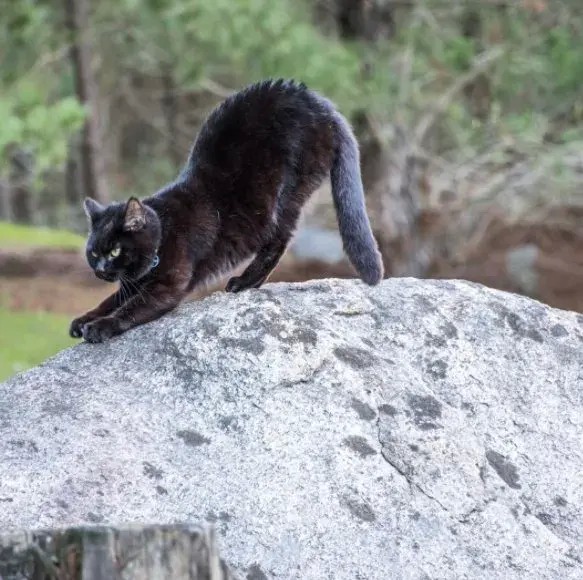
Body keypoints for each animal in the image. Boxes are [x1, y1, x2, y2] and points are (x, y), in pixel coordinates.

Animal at [69, 82, 384, 344]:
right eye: (93, 253)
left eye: (115, 251)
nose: (100, 269)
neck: (163, 231)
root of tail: (321, 105)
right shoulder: (135, 283)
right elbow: (111, 300)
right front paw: (84, 319)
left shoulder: (166, 286)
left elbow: (130, 309)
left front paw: (100, 326)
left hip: (284, 196)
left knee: (278, 240)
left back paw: (244, 282)